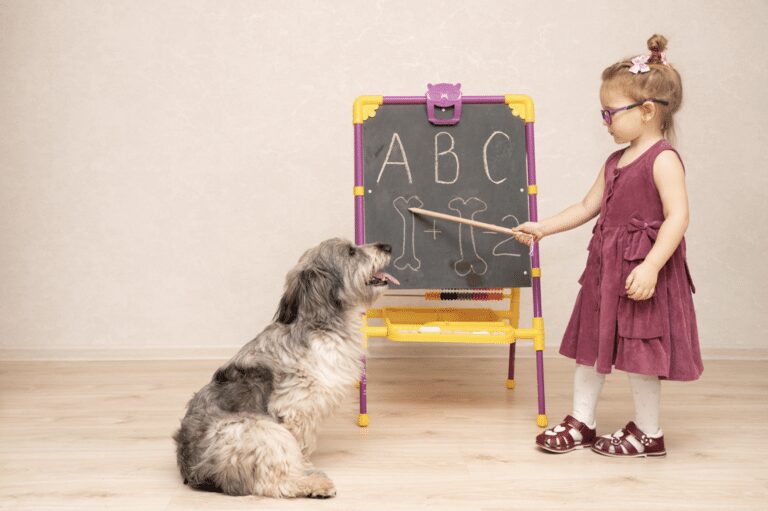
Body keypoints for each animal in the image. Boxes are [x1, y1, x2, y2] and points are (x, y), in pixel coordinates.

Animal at [173, 239, 396, 500]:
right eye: (351, 251)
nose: (387, 246)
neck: (320, 322)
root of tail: (195, 473)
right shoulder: (295, 409)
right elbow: (300, 447)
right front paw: (305, 466)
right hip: (263, 431)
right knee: (275, 484)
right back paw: (314, 484)